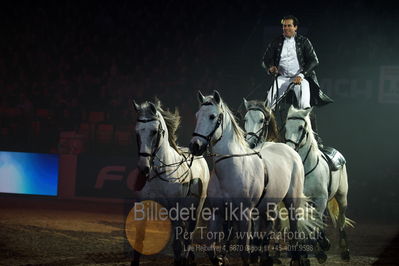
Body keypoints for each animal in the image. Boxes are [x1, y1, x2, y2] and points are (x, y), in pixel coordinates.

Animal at [133, 100, 211, 266]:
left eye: (154, 131)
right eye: (137, 132)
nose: (143, 167)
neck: (159, 173)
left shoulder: (175, 211)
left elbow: (176, 244)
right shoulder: (143, 207)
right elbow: (139, 240)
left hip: (197, 207)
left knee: (188, 235)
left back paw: (187, 257)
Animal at [188, 90, 322, 264]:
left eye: (212, 116)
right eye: (197, 115)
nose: (195, 146)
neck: (231, 168)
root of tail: (290, 150)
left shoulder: (245, 214)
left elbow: (244, 252)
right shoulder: (218, 212)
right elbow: (211, 249)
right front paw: (221, 258)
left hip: (292, 201)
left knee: (293, 227)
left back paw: (296, 258)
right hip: (268, 205)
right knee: (270, 225)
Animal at [286, 106, 354, 262]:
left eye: (301, 127)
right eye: (285, 127)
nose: (289, 149)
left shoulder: (321, 199)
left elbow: (314, 223)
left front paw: (321, 250)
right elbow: (304, 225)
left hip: (342, 196)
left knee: (340, 219)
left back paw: (344, 250)